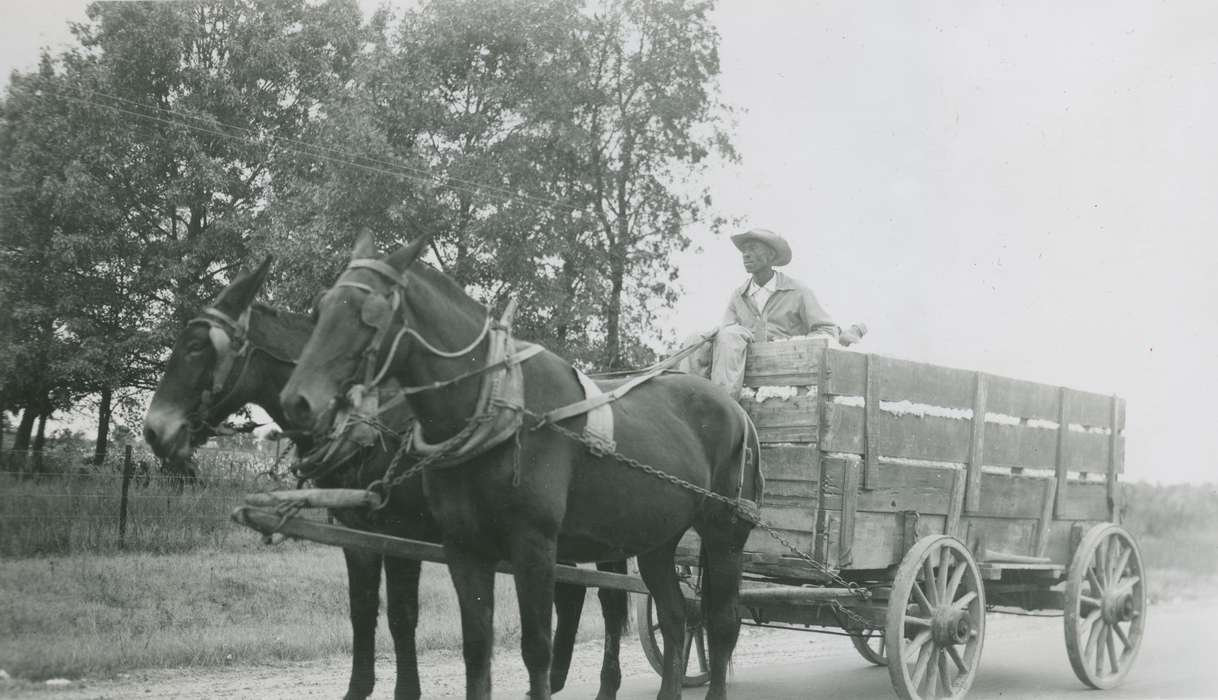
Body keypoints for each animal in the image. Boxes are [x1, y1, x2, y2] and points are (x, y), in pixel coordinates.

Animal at [144, 258, 628, 700]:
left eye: (195, 347)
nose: (153, 430)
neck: (368, 424)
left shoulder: (401, 534)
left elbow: (401, 615)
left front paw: (406, 691)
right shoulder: (357, 534)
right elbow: (362, 611)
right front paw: (358, 689)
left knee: (610, 601)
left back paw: (605, 684)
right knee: (573, 596)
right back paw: (558, 679)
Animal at [283, 236, 760, 700]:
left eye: (372, 314)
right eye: (320, 308)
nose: (297, 401)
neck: (498, 407)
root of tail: (735, 408)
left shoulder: (533, 544)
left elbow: (537, 648)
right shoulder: (463, 548)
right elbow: (477, 648)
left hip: (722, 533)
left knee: (720, 622)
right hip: (657, 541)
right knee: (677, 617)